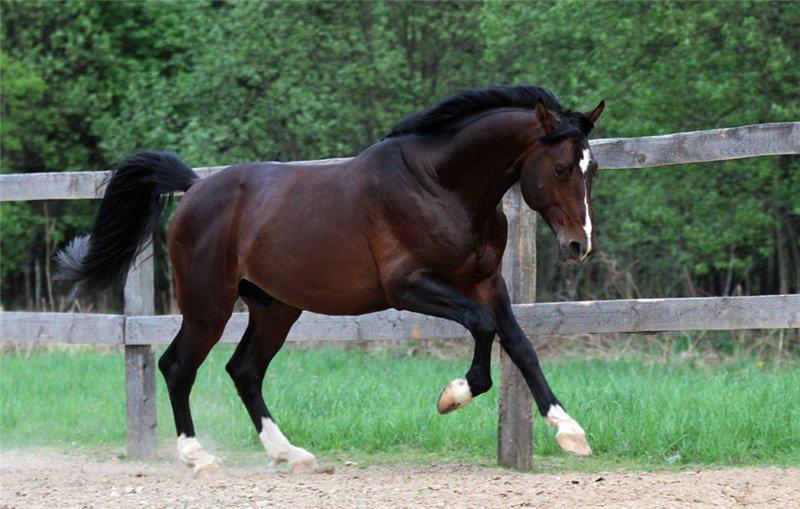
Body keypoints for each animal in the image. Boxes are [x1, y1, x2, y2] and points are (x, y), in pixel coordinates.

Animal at [56, 84, 604, 476]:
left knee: (244, 371)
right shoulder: (409, 286)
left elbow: (520, 345)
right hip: (208, 303)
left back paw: (290, 454)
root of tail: (193, 190)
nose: (579, 246)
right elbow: (483, 326)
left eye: (591, 168)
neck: (439, 185)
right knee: (177, 367)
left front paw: (570, 432)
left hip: (275, 307)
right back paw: (200, 458)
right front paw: (453, 395)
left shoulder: (487, 281)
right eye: (560, 168)